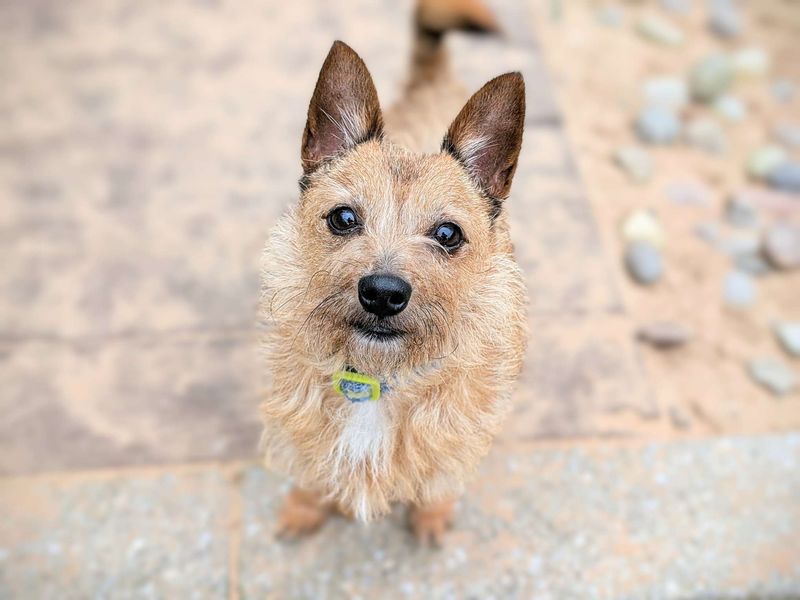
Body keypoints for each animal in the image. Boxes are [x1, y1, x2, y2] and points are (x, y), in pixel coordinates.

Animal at [260, 0, 528, 544]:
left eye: (447, 234)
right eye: (344, 218)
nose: (383, 293)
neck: (377, 381)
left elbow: (439, 480)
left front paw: (431, 516)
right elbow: (310, 474)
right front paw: (302, 508)